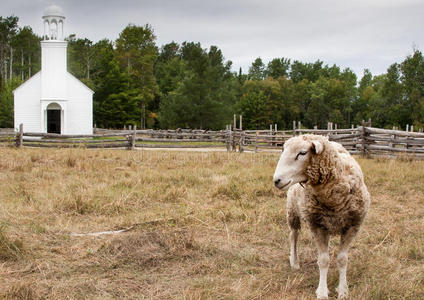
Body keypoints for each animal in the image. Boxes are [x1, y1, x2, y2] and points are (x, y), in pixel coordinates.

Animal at [274, 135, 370, 300]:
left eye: (302, 153)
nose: (276, 180)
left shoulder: (352, 226)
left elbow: (342, 259)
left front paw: (343, 290)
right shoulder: (316, 225)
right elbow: (324, 260)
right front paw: (322, 292)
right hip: (293, 211)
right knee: (294, 235)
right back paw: (295, 262)